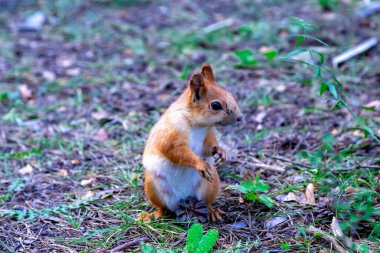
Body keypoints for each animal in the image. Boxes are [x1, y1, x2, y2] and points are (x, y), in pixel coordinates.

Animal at [141, 63, 242, 221]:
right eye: (216, 105)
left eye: (230, 93)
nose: (239, 117)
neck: (196, 124)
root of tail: (183, 200)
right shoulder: (171, 135)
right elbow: (175, 152)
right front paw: (200, 164)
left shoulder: (208, 134)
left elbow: (209, 147)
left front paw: (221, 153)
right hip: (152, 187)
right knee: (163, 208)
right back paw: (153, 216)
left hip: (211, 185)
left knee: (207, 203)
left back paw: (212, 212)